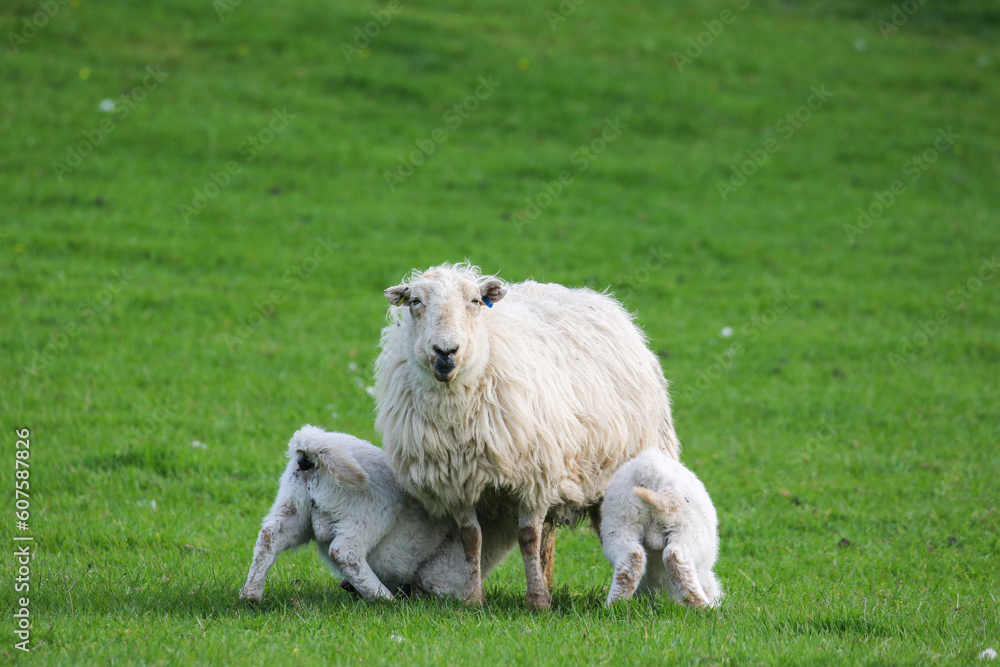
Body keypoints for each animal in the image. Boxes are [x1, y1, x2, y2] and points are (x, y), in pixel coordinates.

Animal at [239, 424, 516, 603]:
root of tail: (315, 449)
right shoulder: (444, 575)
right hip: (368, 513)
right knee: (345, 552)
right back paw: (383, 597)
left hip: (293, 507)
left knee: (269, 536)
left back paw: (251, 594)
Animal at [375, 262, 680, 609]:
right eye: (415, 302)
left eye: (475, 301)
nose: (445, 352)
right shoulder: (457, 482)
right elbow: (471, 538)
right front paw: (473, 600)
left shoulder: (536, 477)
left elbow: (527, 537)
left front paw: (536, 603)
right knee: (548, 533)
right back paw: (549, 582)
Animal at [601, 449, 722, 608]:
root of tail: (649, 472)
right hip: (687, 529)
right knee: (677, 559)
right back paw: (704, 607)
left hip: (621, 523)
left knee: (631, 558)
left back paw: (615, 604)